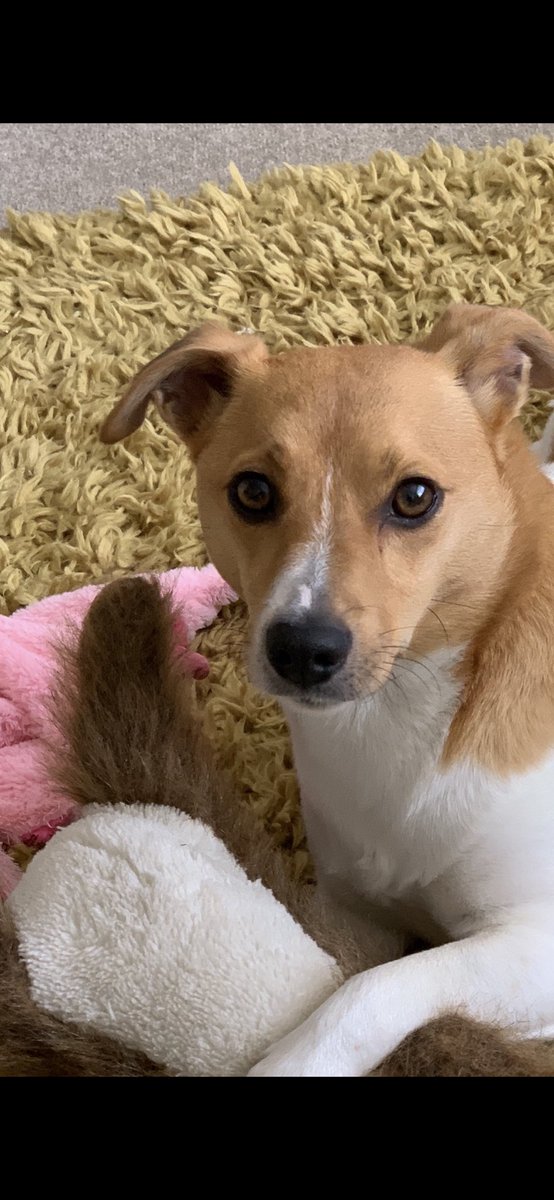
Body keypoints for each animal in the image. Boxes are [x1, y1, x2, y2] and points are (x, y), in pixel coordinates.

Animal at [101, 302, 554, 1080]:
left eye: (415, 496)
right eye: (253, 491)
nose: (302, 649)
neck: (397, 717)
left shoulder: (532, 943)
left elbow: (376, 988)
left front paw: (292, 1062)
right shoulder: (352, 905)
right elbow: (346, 961)